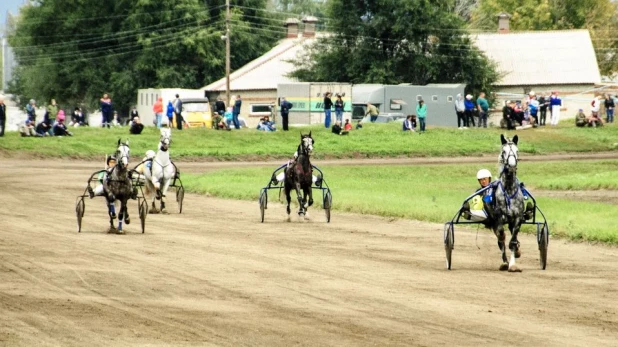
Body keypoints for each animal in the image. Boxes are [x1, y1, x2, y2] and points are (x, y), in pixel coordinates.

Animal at [486, 135, 524, 274]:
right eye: (504, 152)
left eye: (517, 151)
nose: (512, 166)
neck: (509, 191)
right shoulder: (498, 219)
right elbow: (502, 237)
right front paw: (506, 262)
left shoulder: (517, 218)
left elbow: (513, 241)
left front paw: (513, 264)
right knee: (500, 238)